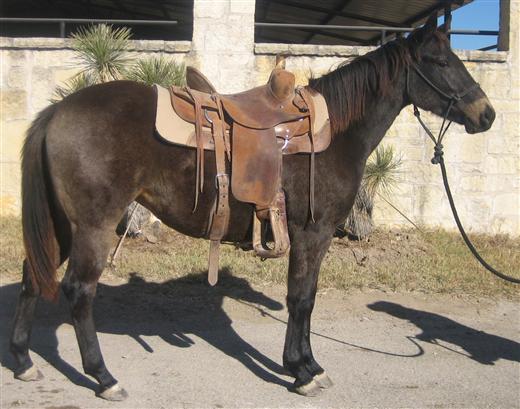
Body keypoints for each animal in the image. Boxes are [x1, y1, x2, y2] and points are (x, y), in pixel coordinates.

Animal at [9, 15, 496, 398]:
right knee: (78, 291)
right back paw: (103, 377)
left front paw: (307, 364)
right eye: (441, 62)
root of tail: (56, 112)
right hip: (93, 226)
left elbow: (305, 298)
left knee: (34, 277)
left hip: (62, 225)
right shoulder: (312, 232)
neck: (334, 132)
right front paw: (301, 371)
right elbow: (302, 298)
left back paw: (23, 361)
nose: (486, 114)